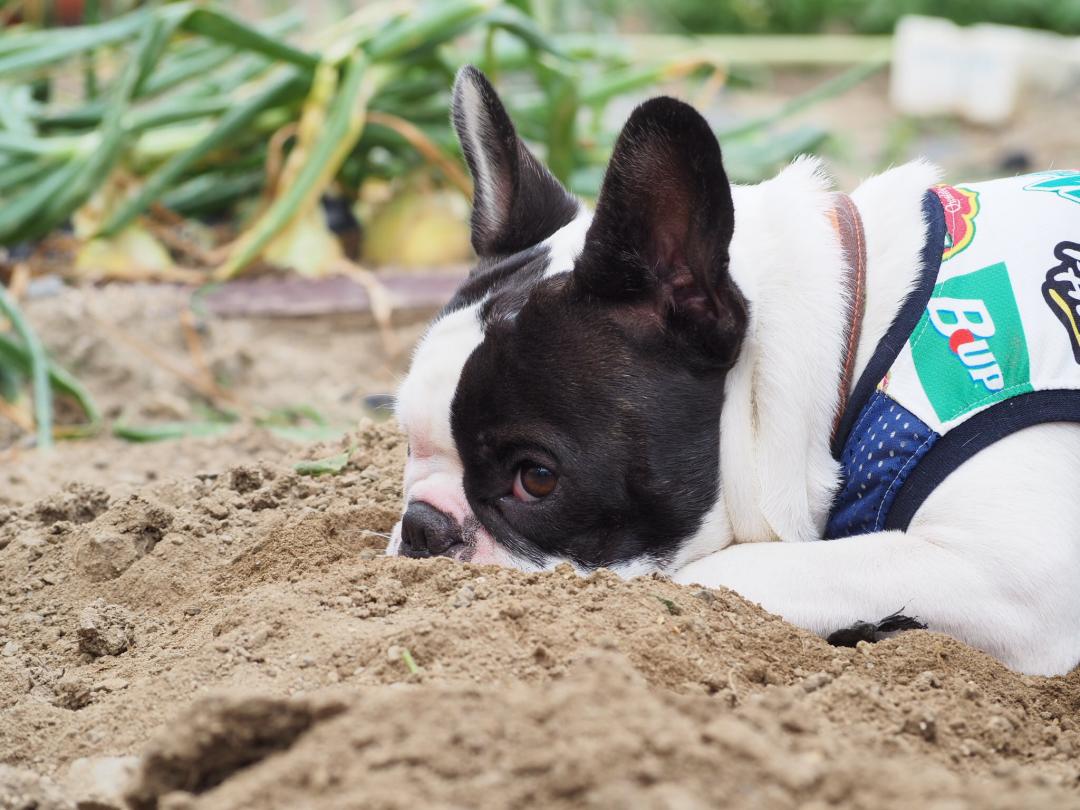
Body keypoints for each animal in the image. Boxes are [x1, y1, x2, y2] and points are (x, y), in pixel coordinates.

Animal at [388, 66, 1080, 678]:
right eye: (406, 445)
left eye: (535, 479)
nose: (422, 527)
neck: (854, 344)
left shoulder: (1010, 576)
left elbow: (735, 572)